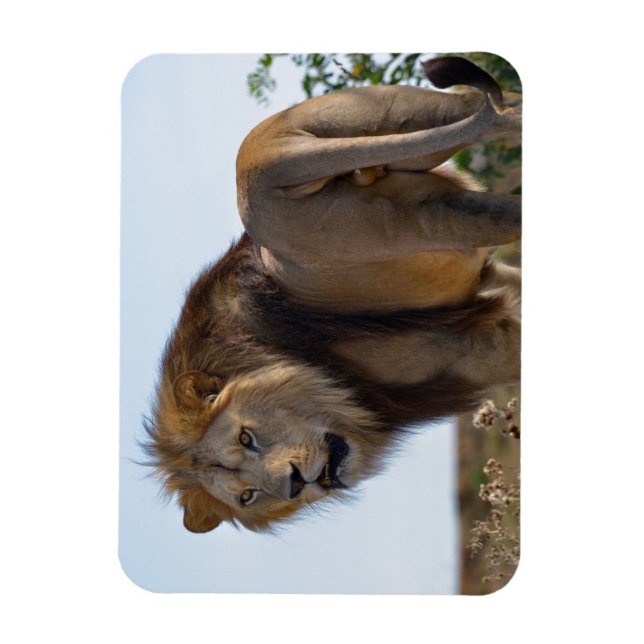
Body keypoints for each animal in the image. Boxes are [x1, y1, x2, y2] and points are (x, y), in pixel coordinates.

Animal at [143, 56, 522, 533]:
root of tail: (263, 163)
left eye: (246, 438)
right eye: (248, 495)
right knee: (503, 114)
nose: (294, 483)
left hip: (419, 212)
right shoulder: (486, 284)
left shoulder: (467, 351)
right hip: (417, 142)